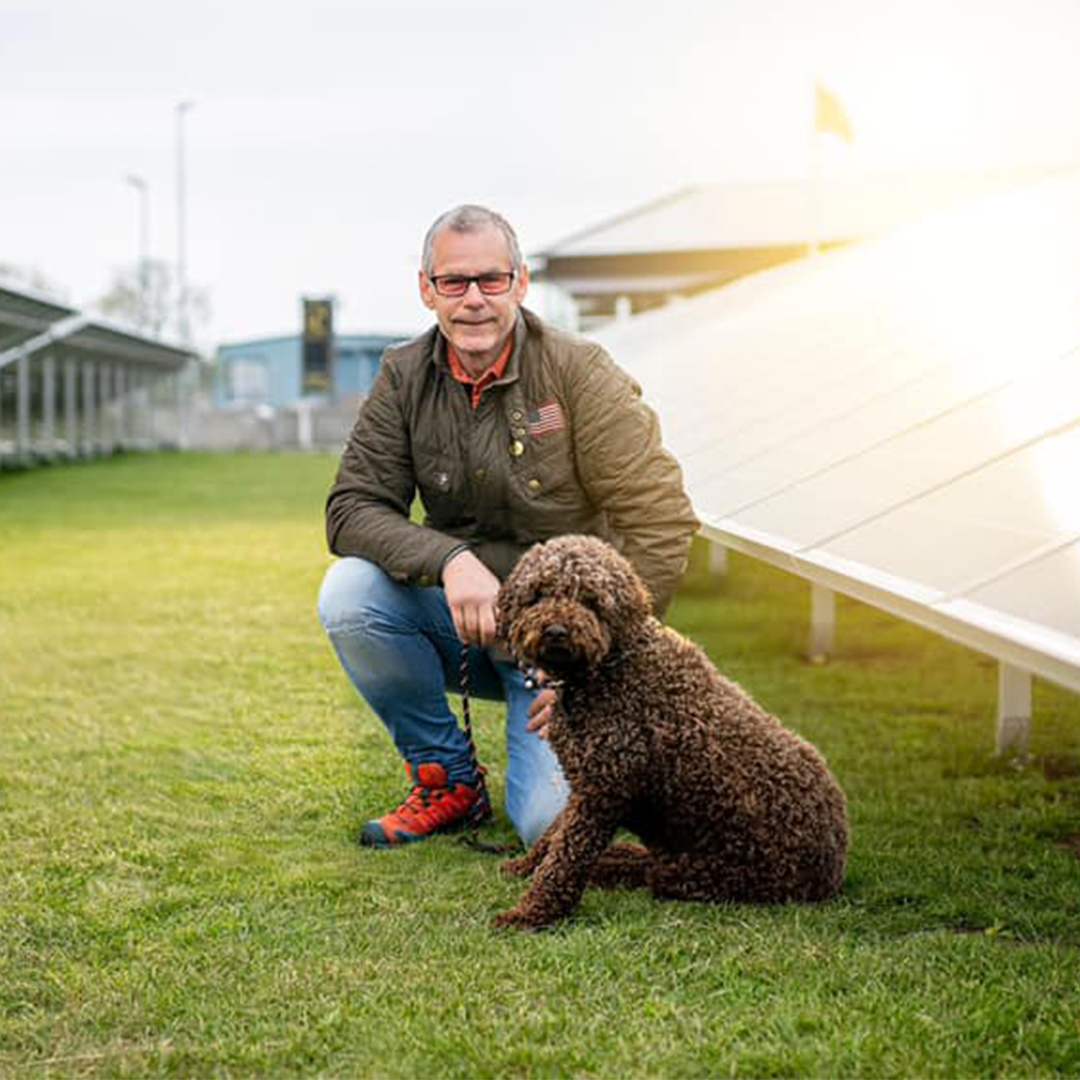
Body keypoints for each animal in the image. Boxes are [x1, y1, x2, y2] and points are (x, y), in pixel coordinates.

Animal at [492, 535, 851, 933]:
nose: (556, 631)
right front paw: (523, 866)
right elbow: (552, 836)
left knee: (651, 872)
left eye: (590, 599)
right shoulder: (587, 784)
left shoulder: (601, 793)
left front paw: (530, 912)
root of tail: (835, 865)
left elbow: (565, 860)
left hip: (706, 873)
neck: (610, 667)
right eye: (538, 594)